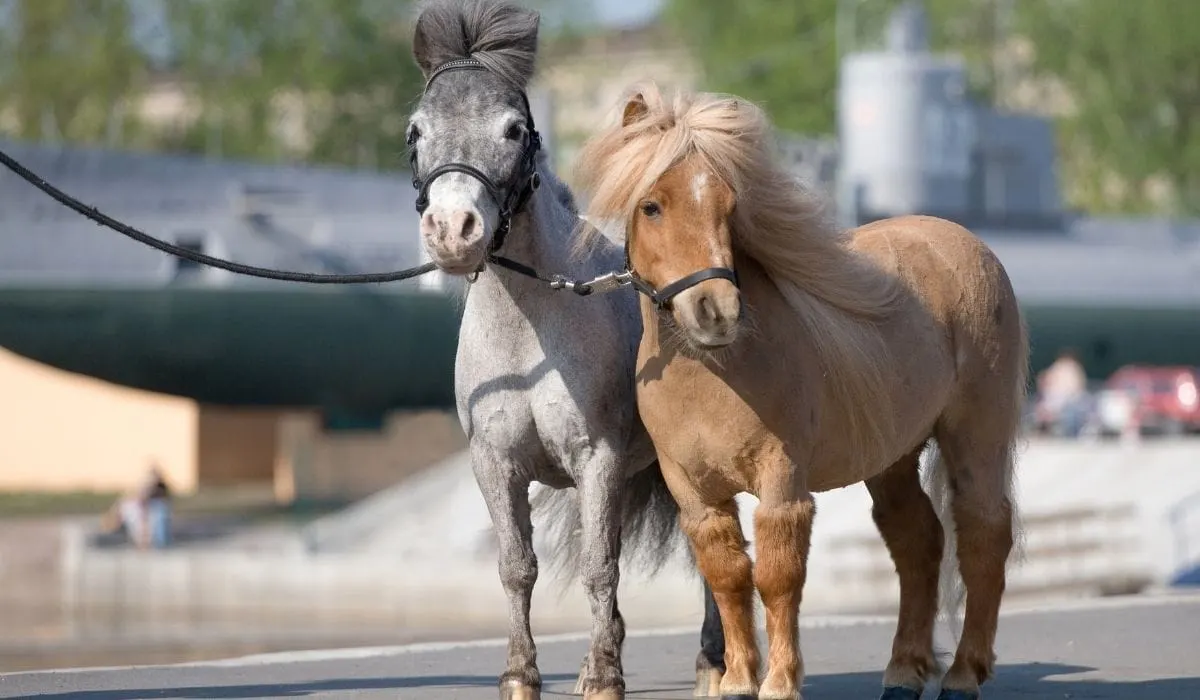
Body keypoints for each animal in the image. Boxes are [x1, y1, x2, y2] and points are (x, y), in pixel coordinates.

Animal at [403, 2, 724, 696]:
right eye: (416, 131)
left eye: (515, 129)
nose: (452, 231)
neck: (530, 337)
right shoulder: (496, 465)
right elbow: (517, 566)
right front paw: (522, 674)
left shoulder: (597, 459)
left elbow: (601, 566)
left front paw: (604, 678)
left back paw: (716, 665)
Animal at [576, 83, 1027, 700]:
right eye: (652, 206)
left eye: (729, 206)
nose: (716, 312)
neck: (720, 373)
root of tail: (968, 243)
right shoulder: (695, 495)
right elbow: (728, 577)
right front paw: (737, 680)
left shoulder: (781, 481)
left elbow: (776, 578)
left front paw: (780, 682)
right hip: (892, 458)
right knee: (918, 542)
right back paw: (902, 673)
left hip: (975, 437)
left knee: (983, 536)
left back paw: (961, 675)